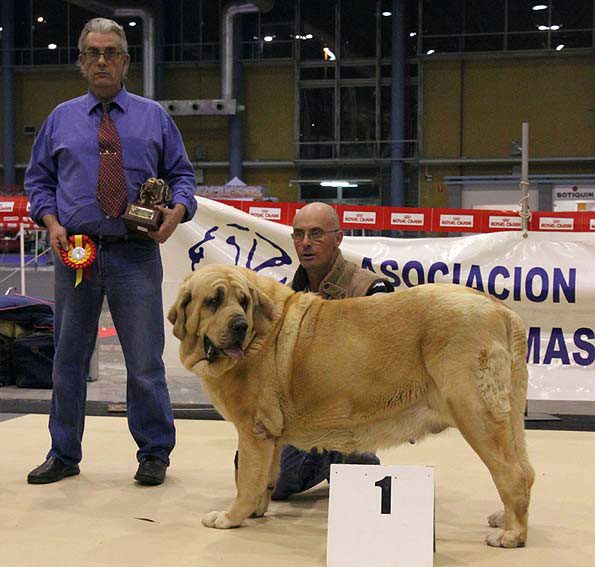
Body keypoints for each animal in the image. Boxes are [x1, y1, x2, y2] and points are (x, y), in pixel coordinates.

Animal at [168, 264, 536, 548]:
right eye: (214, 301)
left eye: (242, 301)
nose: (240, 325)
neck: (262, 331)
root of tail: (500, 309)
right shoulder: (269, 436)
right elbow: (265, 478)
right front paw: (256, 510)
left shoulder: (253, 432)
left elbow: (246, 479)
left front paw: (230, 517)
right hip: (507, 418)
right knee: (526, 471)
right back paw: (505, 518)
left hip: (475, 413)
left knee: (512, 475)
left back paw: (512, 535)